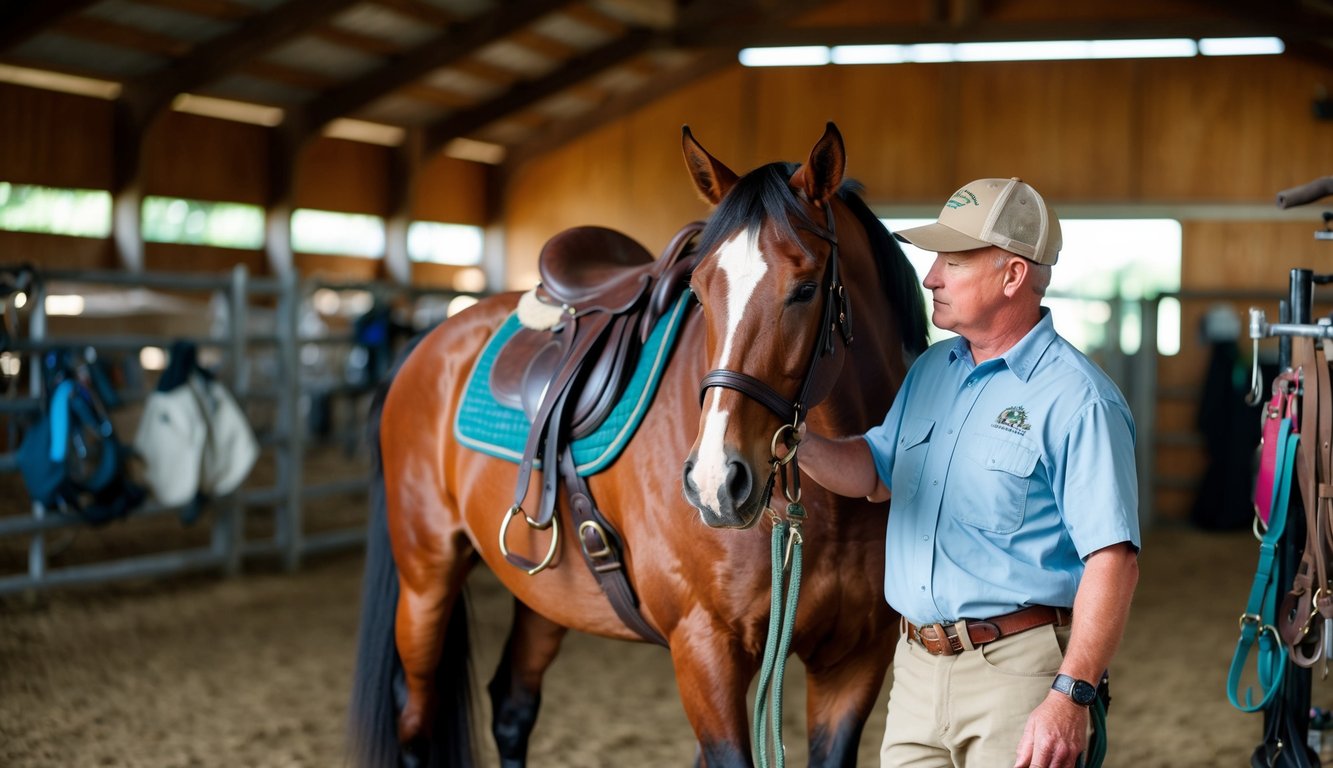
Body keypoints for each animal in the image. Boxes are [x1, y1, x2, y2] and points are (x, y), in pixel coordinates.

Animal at [351, 122, 927, 762]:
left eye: (805, 289)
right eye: (698, 292)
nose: (715, 482)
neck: (831, 513)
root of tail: (428, 342)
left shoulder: (853, 664)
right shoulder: (705, 651)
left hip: (543, 595)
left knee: (511, 706)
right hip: (425, 579)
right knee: (413, 721)